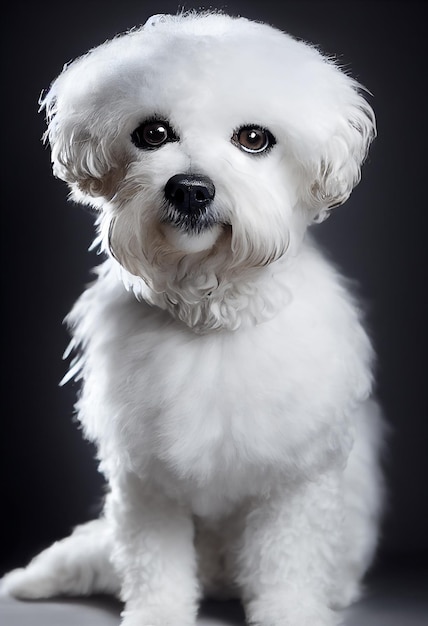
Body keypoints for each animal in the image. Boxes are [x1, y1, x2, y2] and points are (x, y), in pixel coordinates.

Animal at [1, 11, 386, 624]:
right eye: (152, 134)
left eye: (253, 139)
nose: (189, 188)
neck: (210, 310)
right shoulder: (145, 481)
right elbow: (154, 563)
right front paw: (157, 614)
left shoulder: (293, 483)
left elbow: (287, 564)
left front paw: (291, 611)